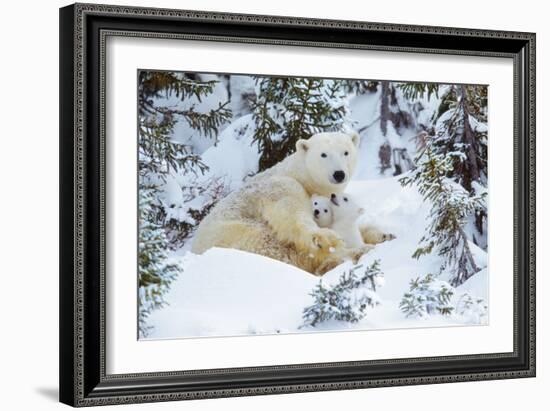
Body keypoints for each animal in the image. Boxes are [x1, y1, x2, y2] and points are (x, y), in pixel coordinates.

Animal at [192, 131, 386, 274]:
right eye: (323, 154)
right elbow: (291, 214)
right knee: (277, 248)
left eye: (346, 152)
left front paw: (382, 234)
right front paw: (326, 239)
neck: (301, 176)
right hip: (240, 234)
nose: (339, 174)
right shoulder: (281, 186)